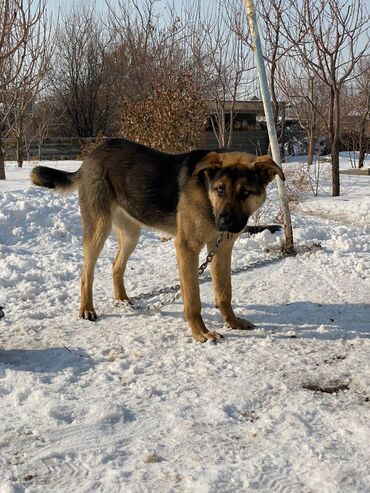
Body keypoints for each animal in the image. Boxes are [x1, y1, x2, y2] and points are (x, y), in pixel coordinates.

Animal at [32, 136, 286, 340]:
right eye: (220, 189)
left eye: (245, 193)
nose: (224, 223)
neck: (207, 195)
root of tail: (91, 156)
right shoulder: (187, 247)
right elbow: (192, 298)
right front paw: (201, 333)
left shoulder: (221, 249)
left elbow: (224, 292)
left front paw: (233, 322)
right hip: (99, 229)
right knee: (87, 273)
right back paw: (87, 308)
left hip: (131, 233)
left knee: (116, 266)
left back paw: (122, 300)